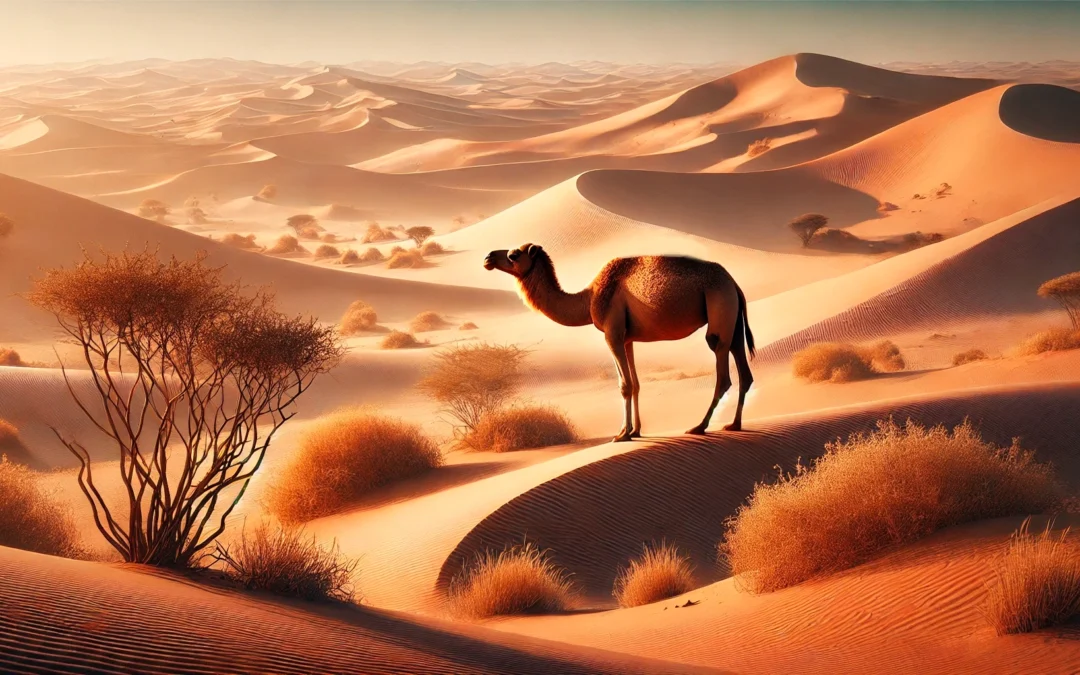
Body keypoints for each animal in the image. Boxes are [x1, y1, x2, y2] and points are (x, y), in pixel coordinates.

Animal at [484, 243, 754, 442]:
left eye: (513, 254)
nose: (488, 257)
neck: (588, 298)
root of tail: (734, 284)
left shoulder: (611, 333)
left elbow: (624, 385)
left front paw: (622, 435)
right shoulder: (627, 338)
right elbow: (635, 384)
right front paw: (634, 431)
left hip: (719, 308)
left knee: (722, 369)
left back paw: (699, 426)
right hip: (732, 319)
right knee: (743, 368)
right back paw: (734, 424)